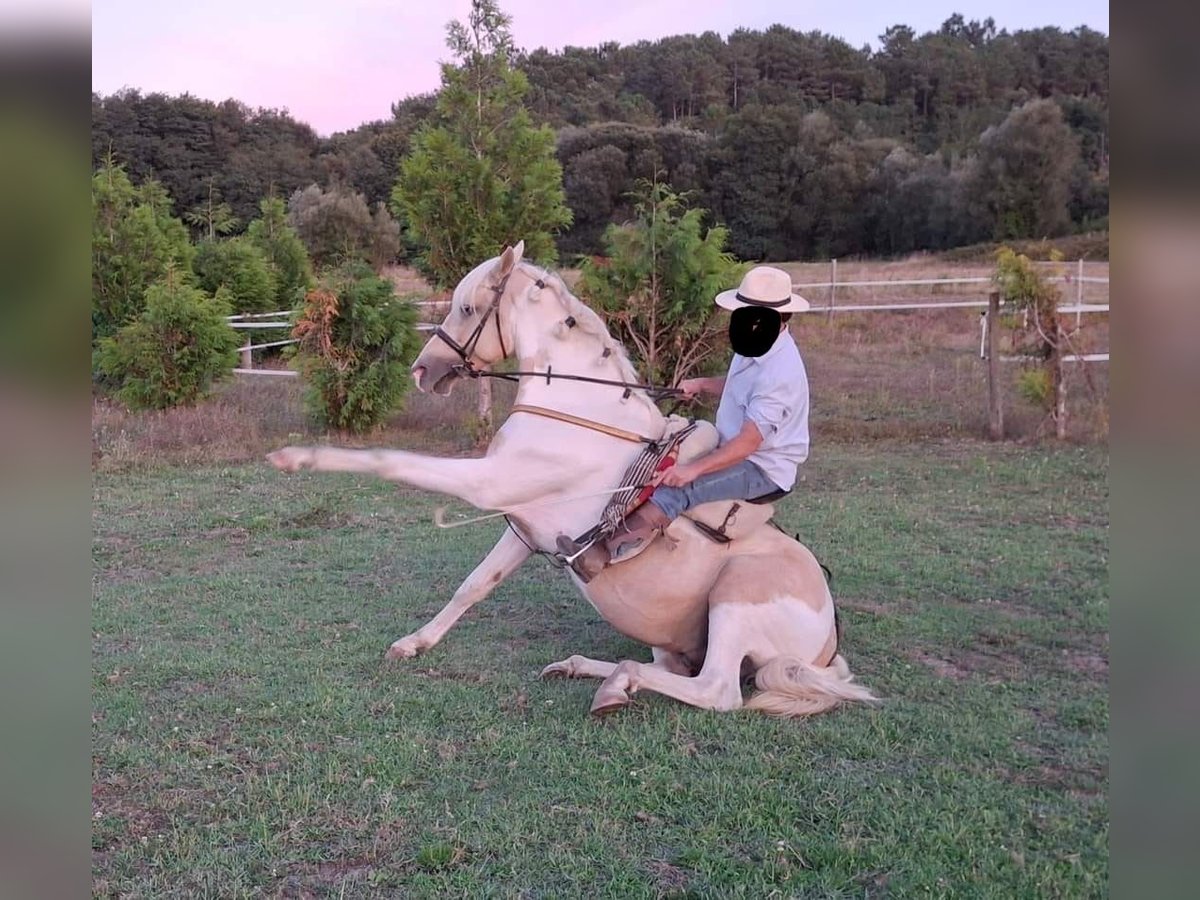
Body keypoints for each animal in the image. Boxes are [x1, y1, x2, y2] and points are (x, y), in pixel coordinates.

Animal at [267, 243, 878, 724]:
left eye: (467, 308)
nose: (423, 370)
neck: (573, 406)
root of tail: (827, 646)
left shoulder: (489, 485)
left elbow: (392, 462)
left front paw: (294, 458)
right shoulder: (520, 526)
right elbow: (474, 585)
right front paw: (413, 644)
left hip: (733, 604)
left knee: (717, 690)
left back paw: (616, 685)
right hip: (668, 635)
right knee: (673, 669)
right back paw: (578, 668)